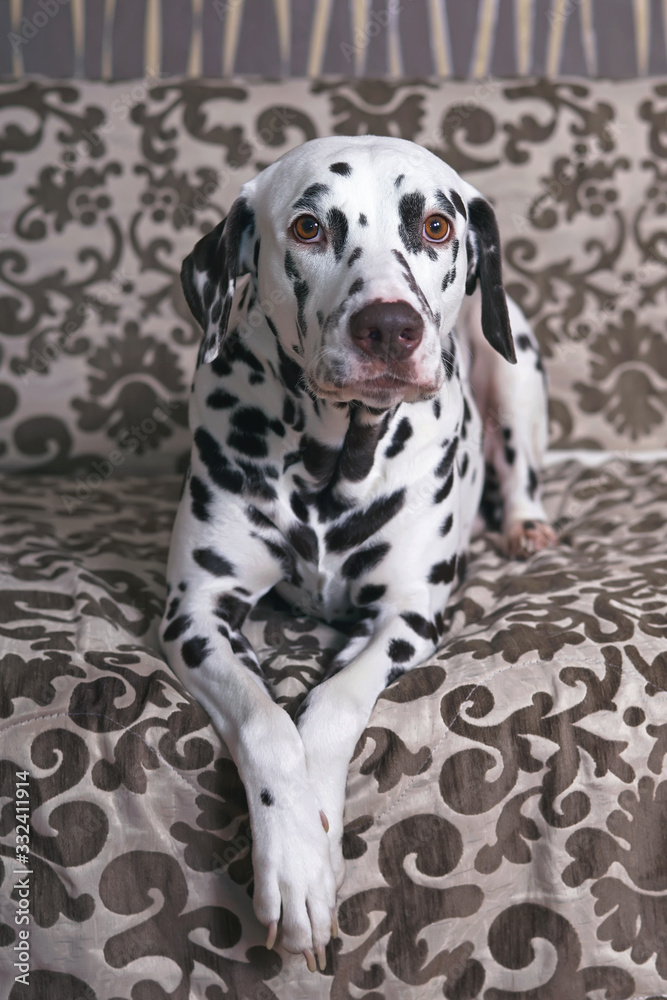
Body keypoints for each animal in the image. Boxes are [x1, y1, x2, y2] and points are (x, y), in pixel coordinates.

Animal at [159, 133, 556, 968]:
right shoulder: (195, 615)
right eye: (309, 228)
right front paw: (296, 864)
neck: (330, 462)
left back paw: (524, 524)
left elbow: (332, 707)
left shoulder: (404, 620)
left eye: (435, 226)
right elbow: (267, 725)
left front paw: (316, 833)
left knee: (519, 458)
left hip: (512, 362)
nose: (389, 327)